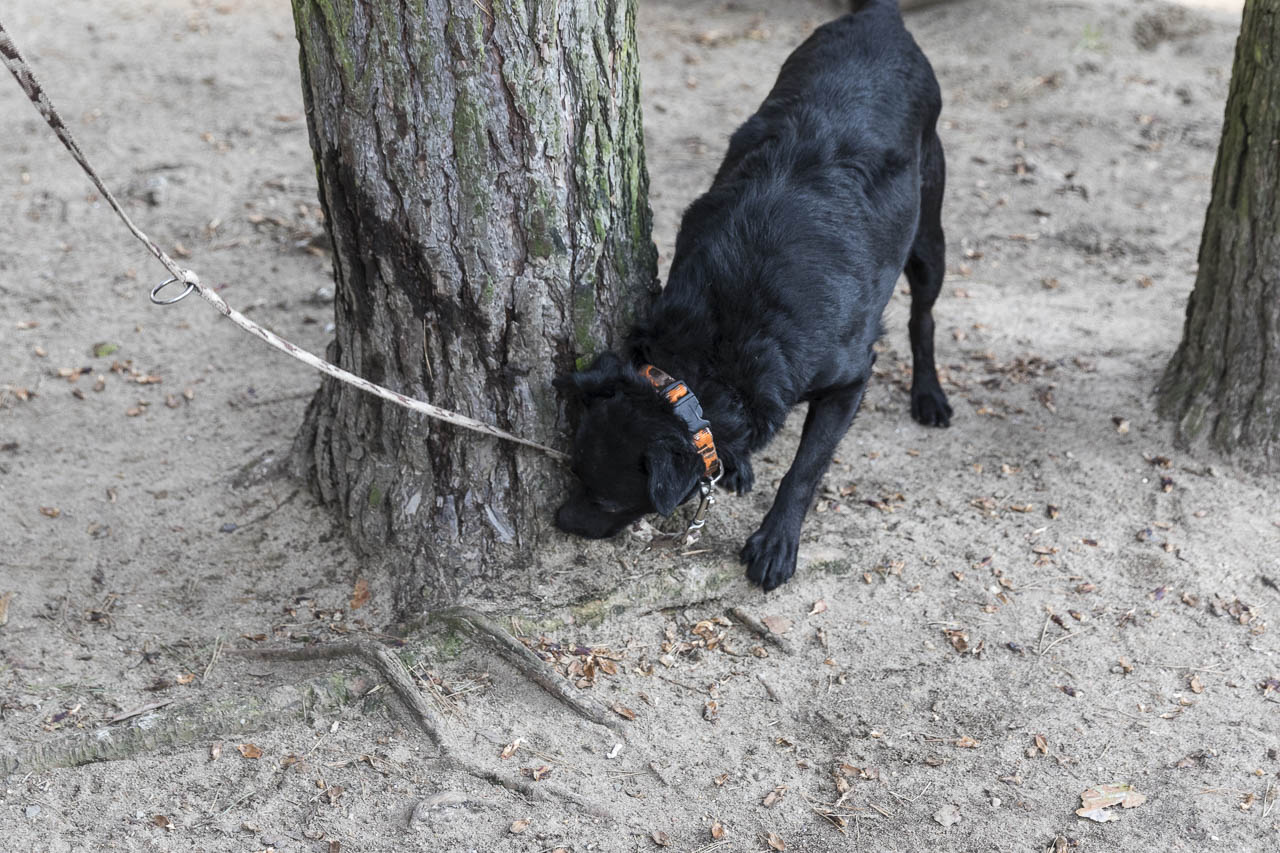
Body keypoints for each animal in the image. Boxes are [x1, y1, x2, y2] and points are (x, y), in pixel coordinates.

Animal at [555, 0, 950, 591]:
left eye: (605, 500)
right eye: (574, 471)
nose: (560, 521)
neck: (718, 348)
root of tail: (880, 17)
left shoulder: (850, 379)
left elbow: (806, 468)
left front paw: (776, 541)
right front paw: (737, 467)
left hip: (928, 240)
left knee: (922, 317)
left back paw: (929, 394)